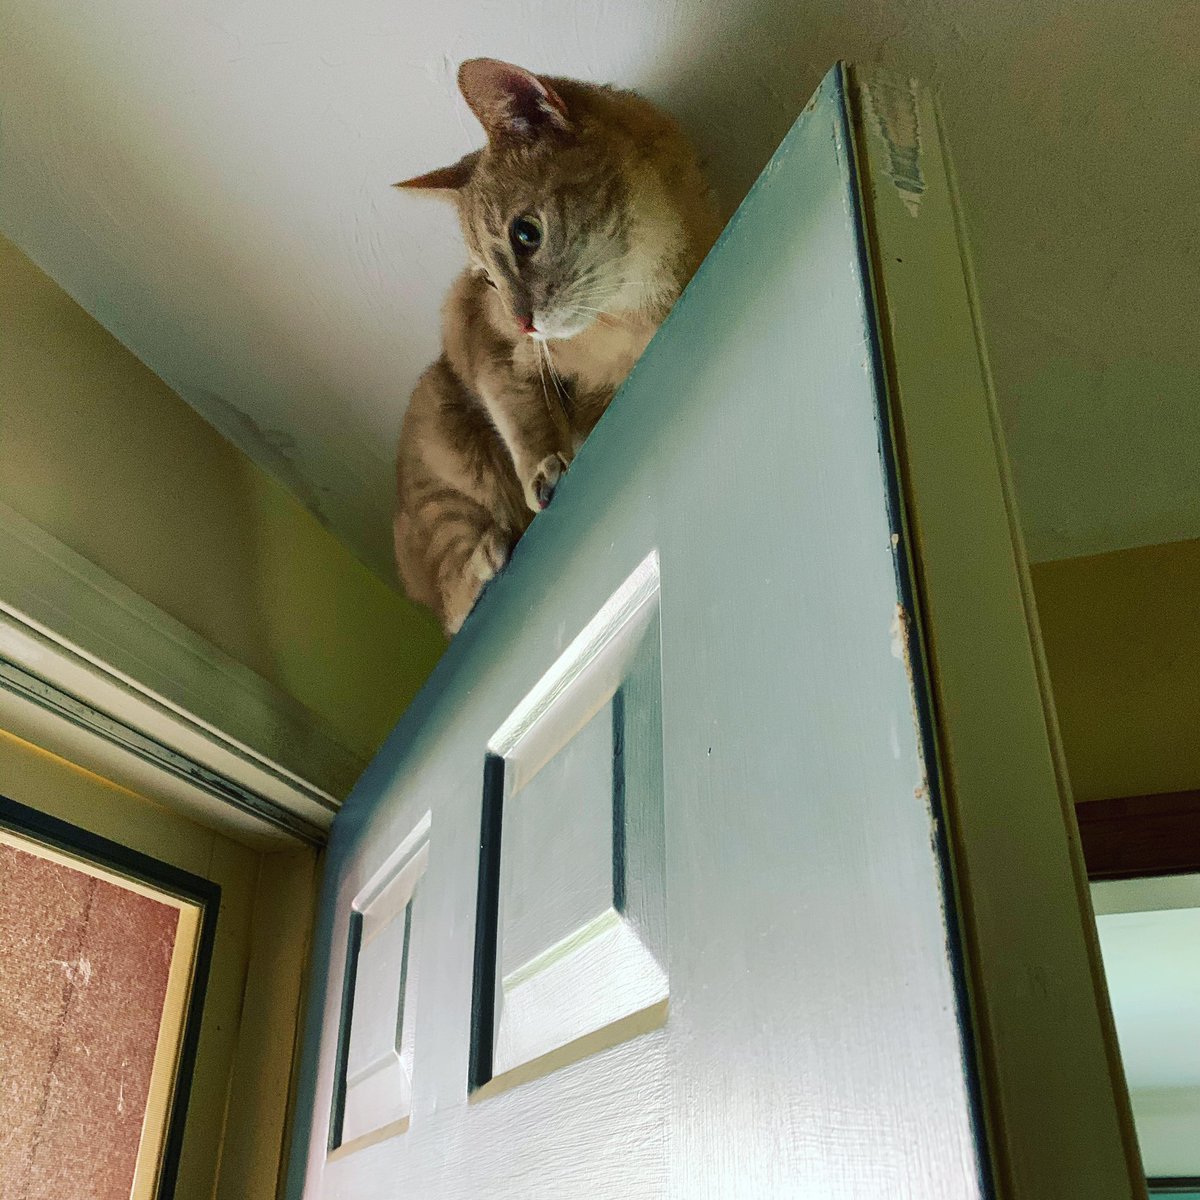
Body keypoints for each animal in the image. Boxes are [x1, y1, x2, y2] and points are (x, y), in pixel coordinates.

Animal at [391, 59, 720, 633]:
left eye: (526, 234)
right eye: (487, 280)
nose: (523, 323)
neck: (635, 309)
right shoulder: (489, 349)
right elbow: (524, 418)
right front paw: (546, 466)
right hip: (445, 454)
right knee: (455, 605)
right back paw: (487, 557)